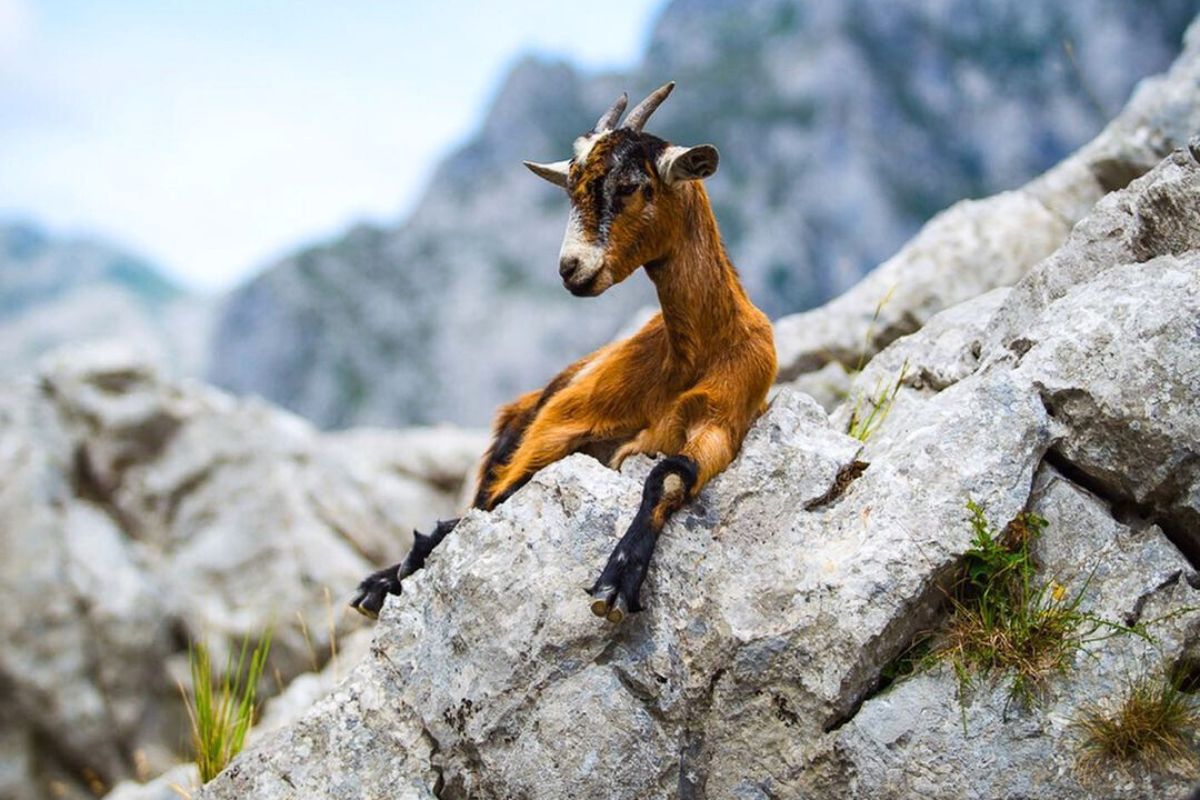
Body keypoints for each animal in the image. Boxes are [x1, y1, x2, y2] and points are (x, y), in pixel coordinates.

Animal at [352, 82, 777, 623]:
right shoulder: (559, 424)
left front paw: (616, 581)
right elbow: (501, 496)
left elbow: (670, 476)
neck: (694, 353)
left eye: (632, 186)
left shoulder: (724, 420)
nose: (570, 268)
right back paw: (383, 580)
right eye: (571, 189)